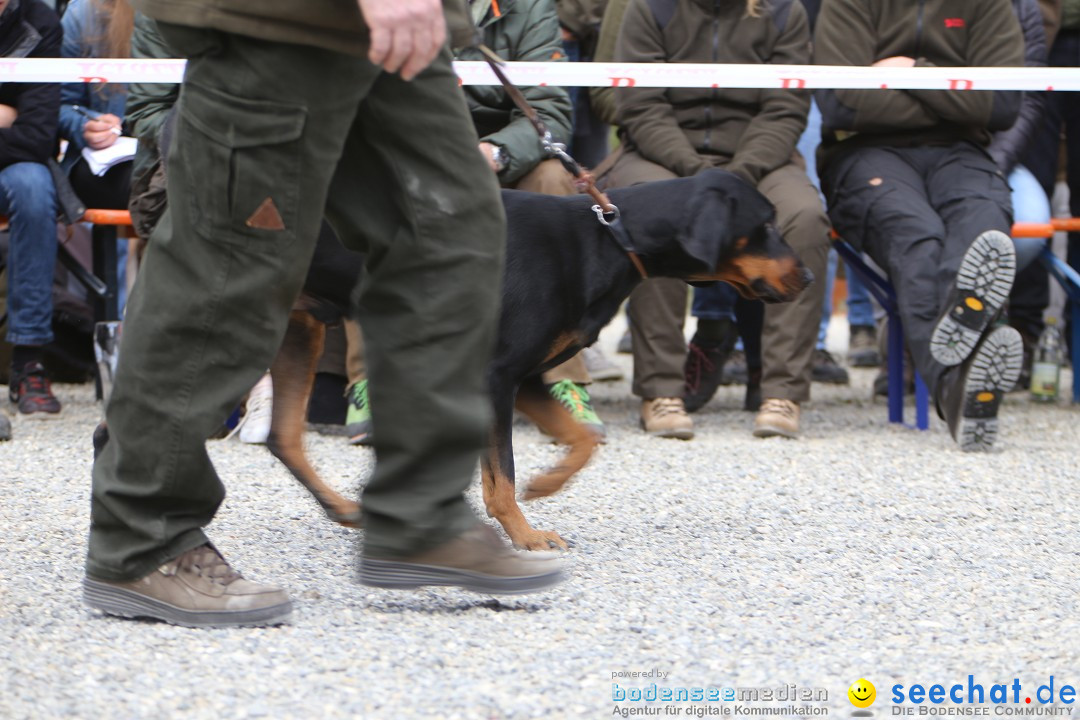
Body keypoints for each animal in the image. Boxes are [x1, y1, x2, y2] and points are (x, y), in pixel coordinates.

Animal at [99, 169, 812, 552]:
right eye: (763, 225)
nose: (807, 275)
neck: (607, 234)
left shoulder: (525, 375)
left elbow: (580, 439)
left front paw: (548, 486)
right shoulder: (494, 378)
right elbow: (499, 476)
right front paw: (524, 534)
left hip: (299, 332)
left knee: (285, 437)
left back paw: (344, 510)